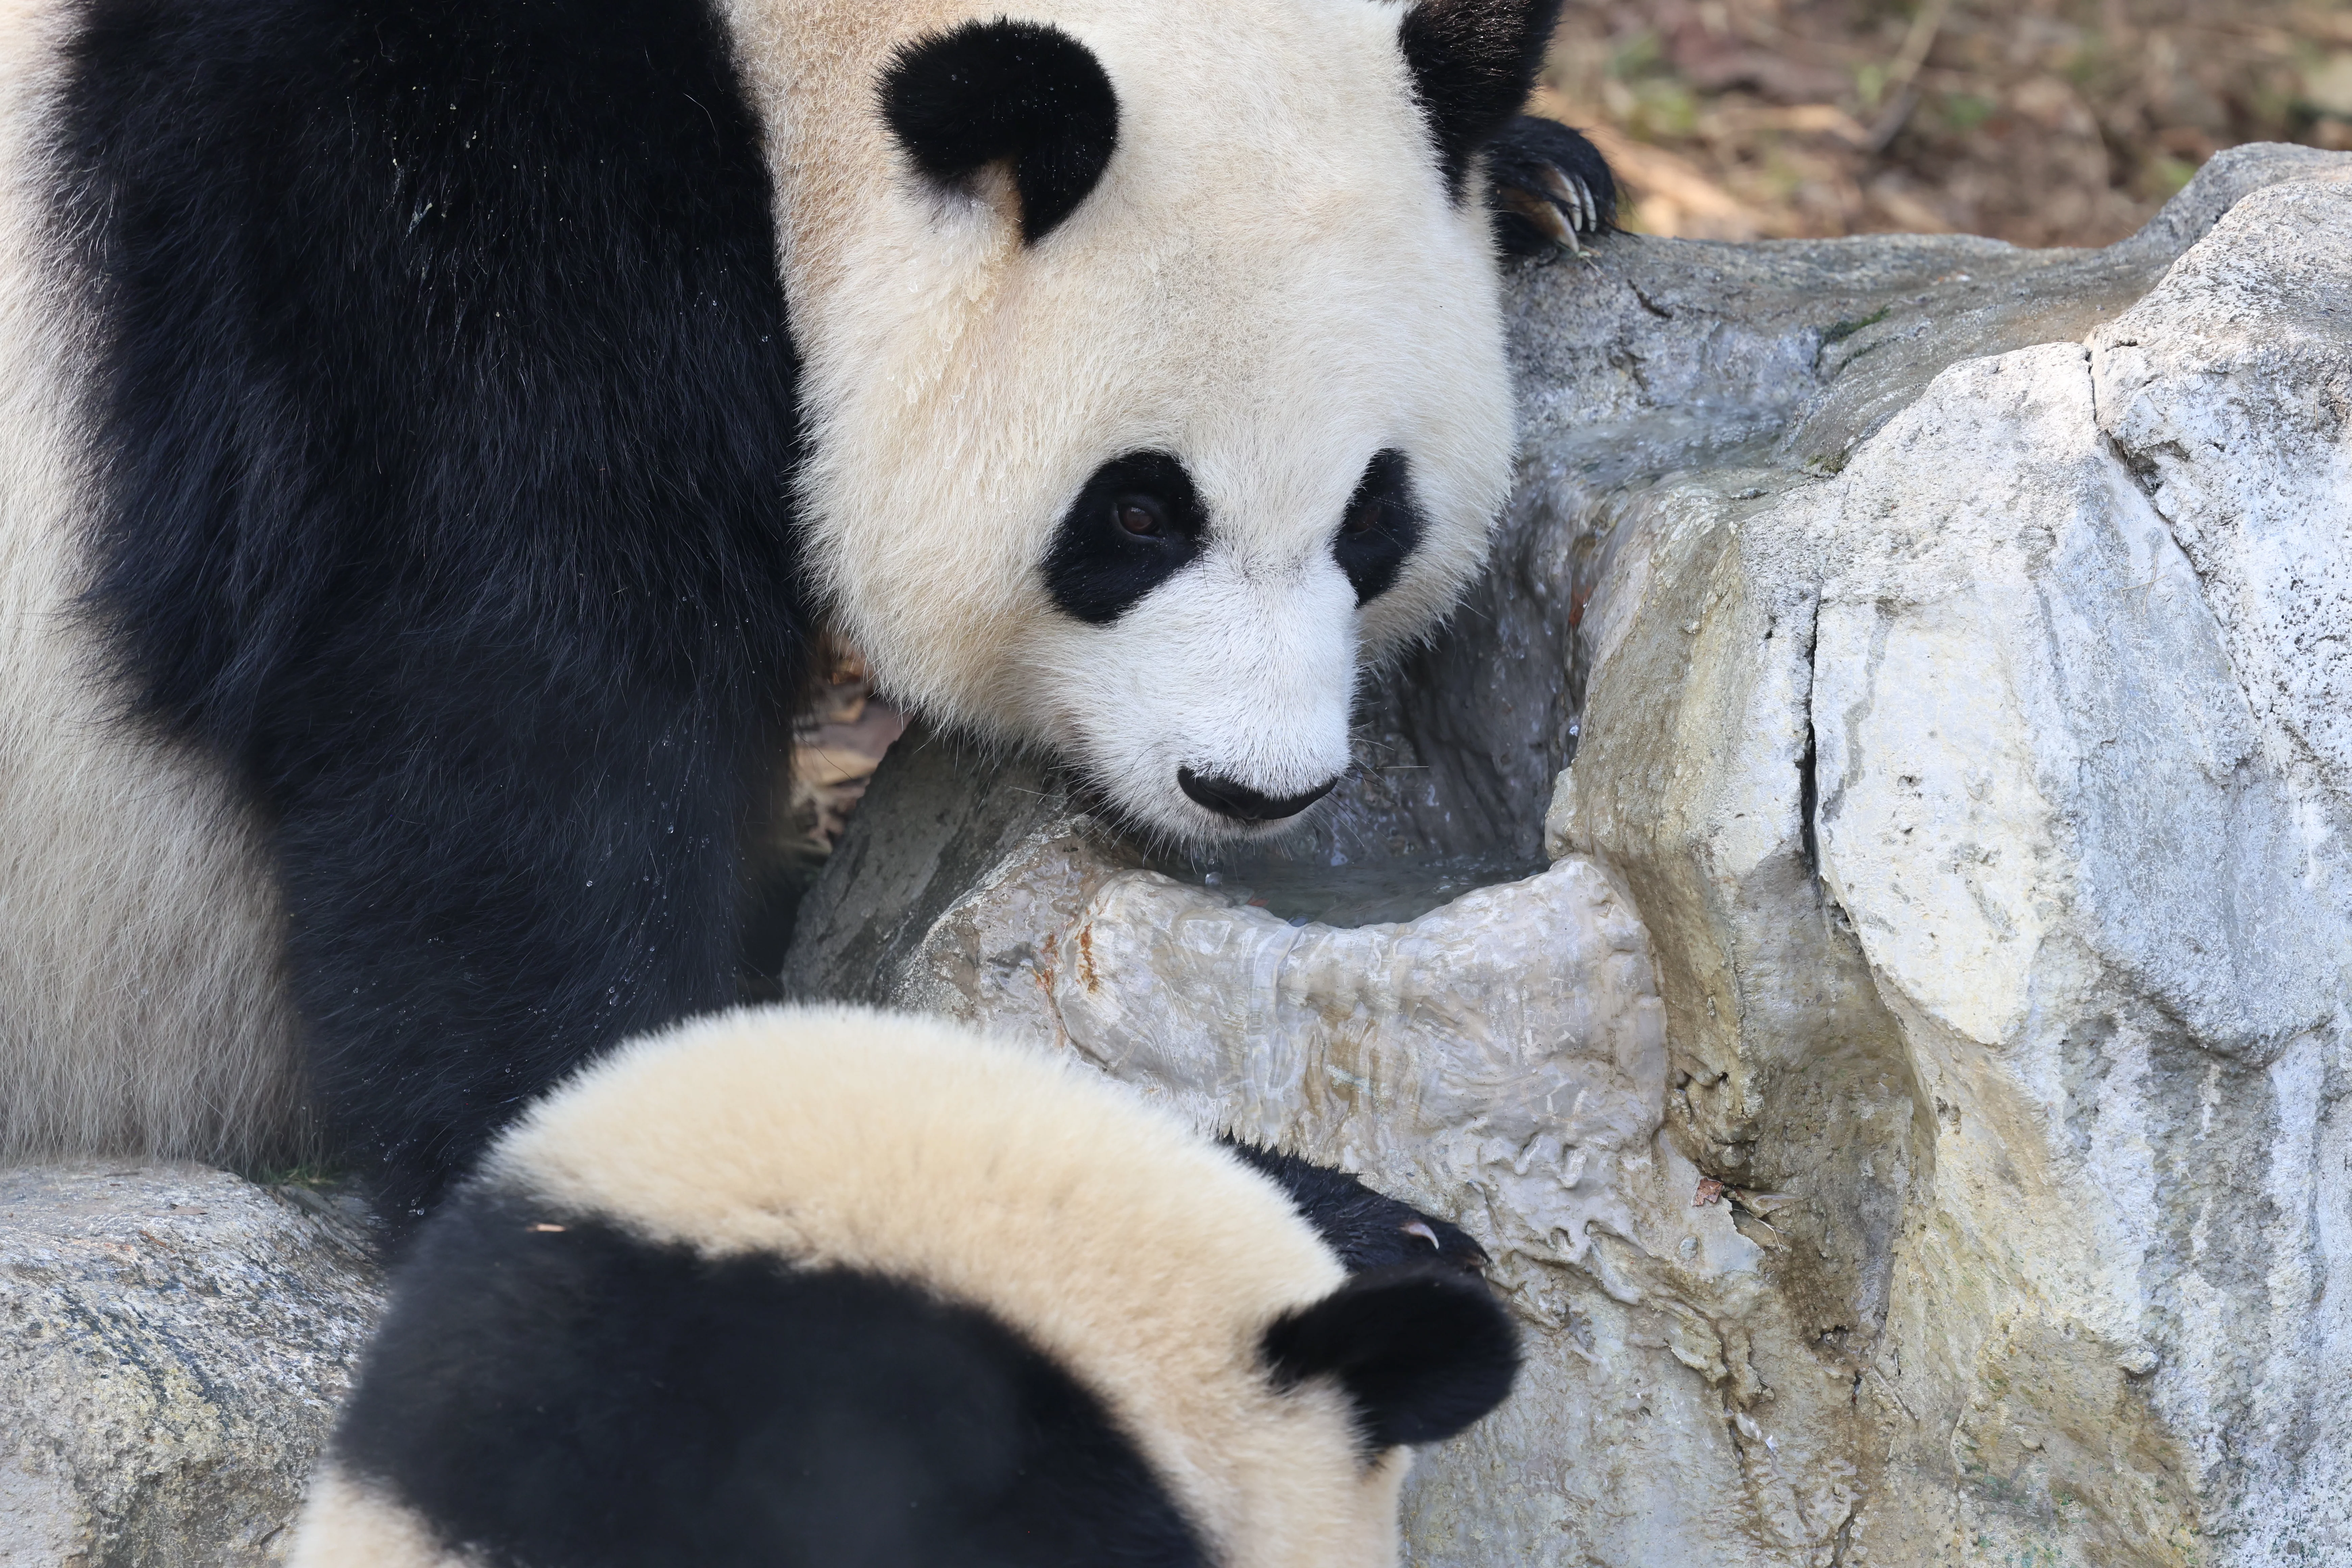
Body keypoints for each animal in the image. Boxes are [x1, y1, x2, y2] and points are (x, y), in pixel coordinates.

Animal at [0, 0, 1614, 1217]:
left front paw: (1542, 179)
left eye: (1372, 518)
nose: (1251, 785)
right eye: (1140, 513)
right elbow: (505, 748)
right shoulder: (401, 228)